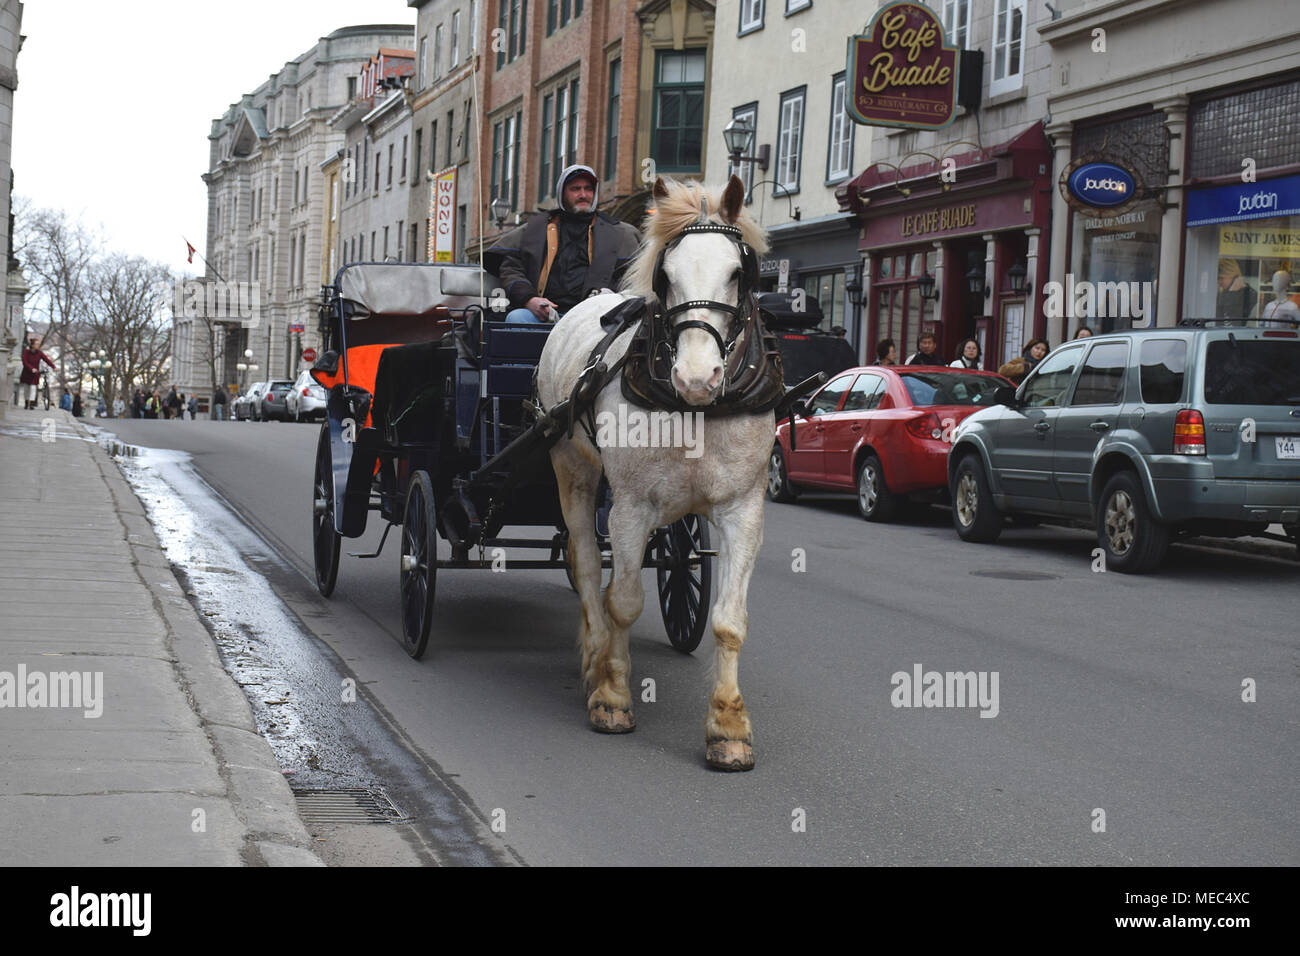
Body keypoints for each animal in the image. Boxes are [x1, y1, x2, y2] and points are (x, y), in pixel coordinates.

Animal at [536, 175, 773, 771]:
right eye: (665, 276)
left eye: (738, 272)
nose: (696, 377)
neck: (696, 410)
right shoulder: (631, 506)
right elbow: (622, 601)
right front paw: (612, 695)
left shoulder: (743, 510)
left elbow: (729, 620)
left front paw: (728, 726)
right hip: (572, 468)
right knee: (585, 563)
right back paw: (595, 656)